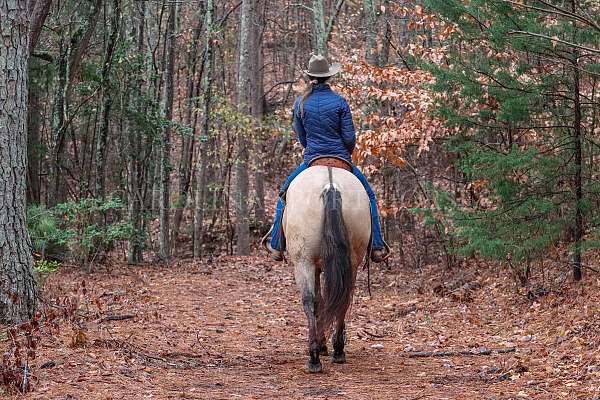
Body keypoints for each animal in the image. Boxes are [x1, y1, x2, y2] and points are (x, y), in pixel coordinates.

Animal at [282, 161, 370, 374]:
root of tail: (331, 186)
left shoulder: (312, 265)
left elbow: (317, 301)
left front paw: (321, 345)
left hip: (303, 260)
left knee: (308, 300)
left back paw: (315, 356)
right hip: (352, 261)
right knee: (344, 299)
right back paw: (337, 350)